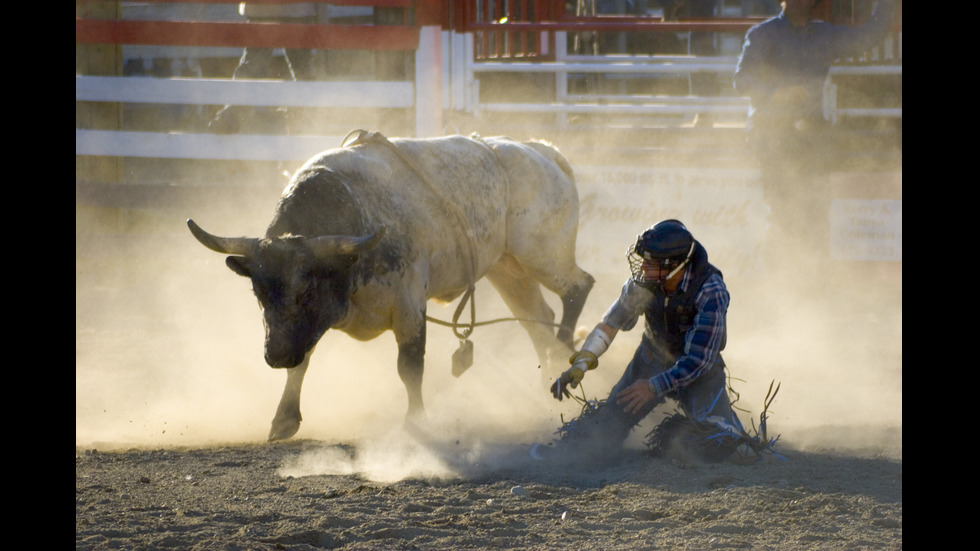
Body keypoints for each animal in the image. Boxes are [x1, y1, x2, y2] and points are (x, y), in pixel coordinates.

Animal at [188, 132, 592, 442]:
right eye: (258, 293)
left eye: (307, 291)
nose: (275, 356)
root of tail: (542, 151)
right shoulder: (304, 329)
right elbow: (302, 364)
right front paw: (283, 419)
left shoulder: (410, 303)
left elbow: (409, 366)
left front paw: (415, 421)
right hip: (507, 269)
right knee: (536, 318)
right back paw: (549, 369)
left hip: (543, 255)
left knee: (577, 288)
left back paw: (564, 348)